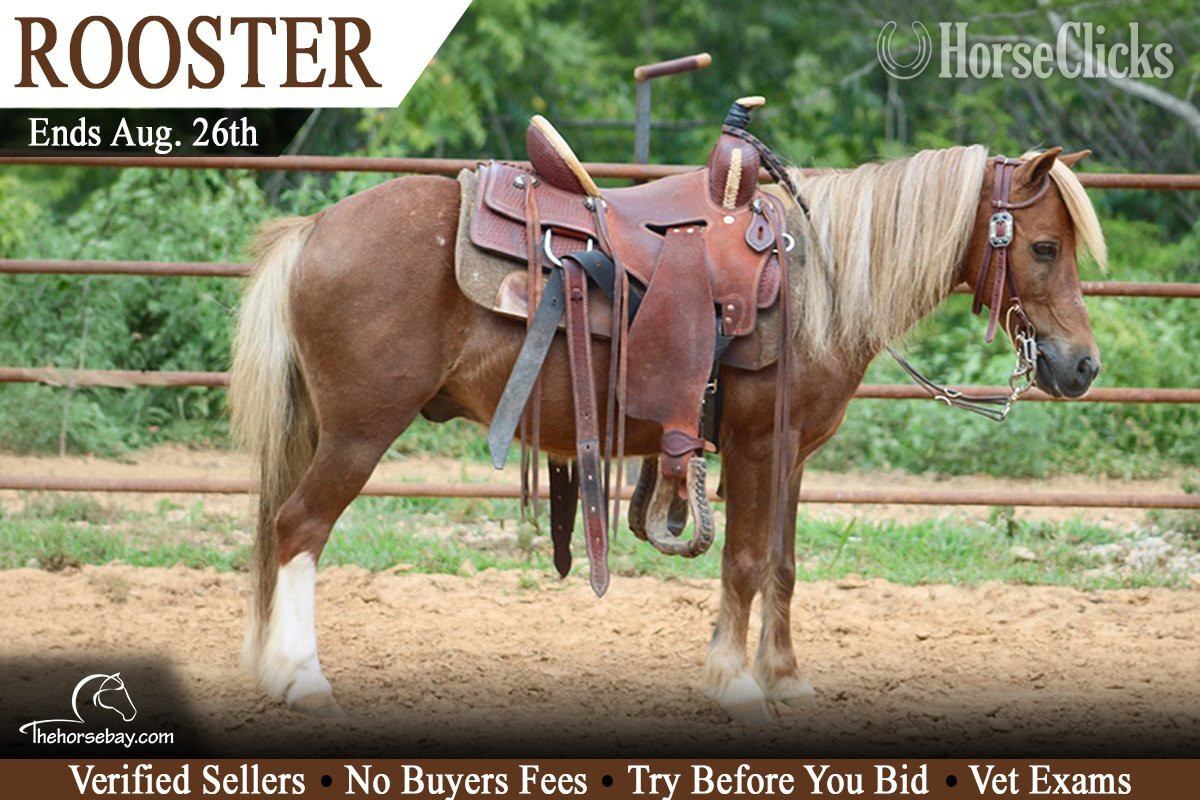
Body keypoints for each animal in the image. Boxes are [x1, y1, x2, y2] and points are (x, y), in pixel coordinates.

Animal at [229, 144, 1106, 721]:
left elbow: (784, 565)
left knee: (282, 532)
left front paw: (787, 678)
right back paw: (302, 678)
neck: (814, 280)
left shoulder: (792, 457)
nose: (1083, 366)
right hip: (358, 432)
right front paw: (737, 684)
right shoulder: (755, 447)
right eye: (1043, 246)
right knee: (298, 527)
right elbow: (745, 562)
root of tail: (314, 230)